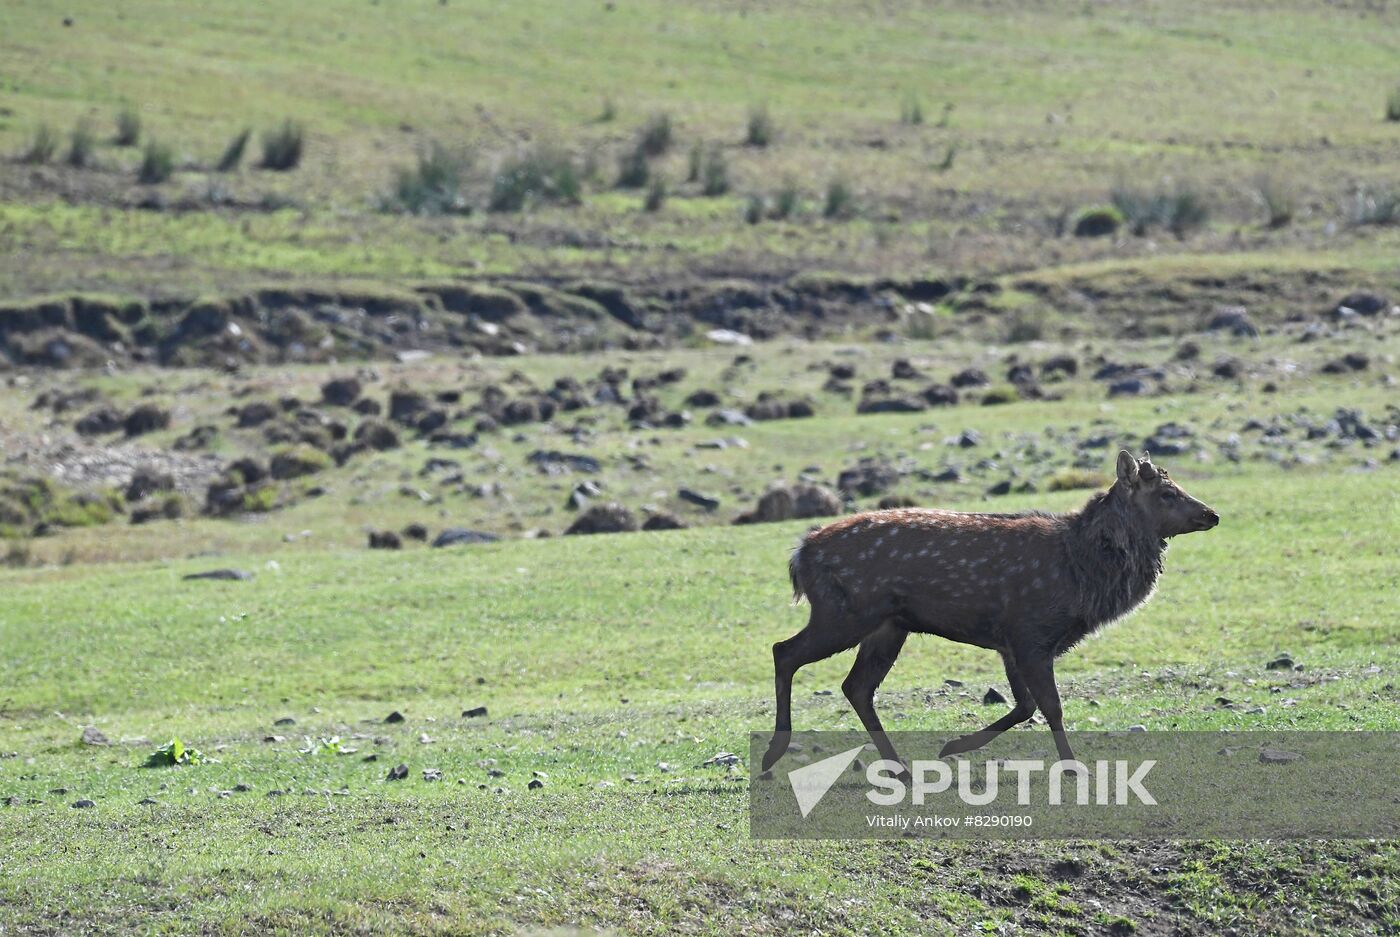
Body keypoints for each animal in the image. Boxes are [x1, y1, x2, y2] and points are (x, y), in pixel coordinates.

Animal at [761, 448, 1220, 773]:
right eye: (1167, 493)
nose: (1211, 513)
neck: (1082, 570)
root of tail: (800, 554)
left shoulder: (1012, 642)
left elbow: (1025, 706)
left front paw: (953, 746)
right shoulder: (1031, 631)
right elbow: (1050, 706)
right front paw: (1074, 768)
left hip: (888, 626)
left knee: (856, 686)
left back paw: (899, 768)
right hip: (843, 613)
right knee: (785, 651)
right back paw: (774, 752)